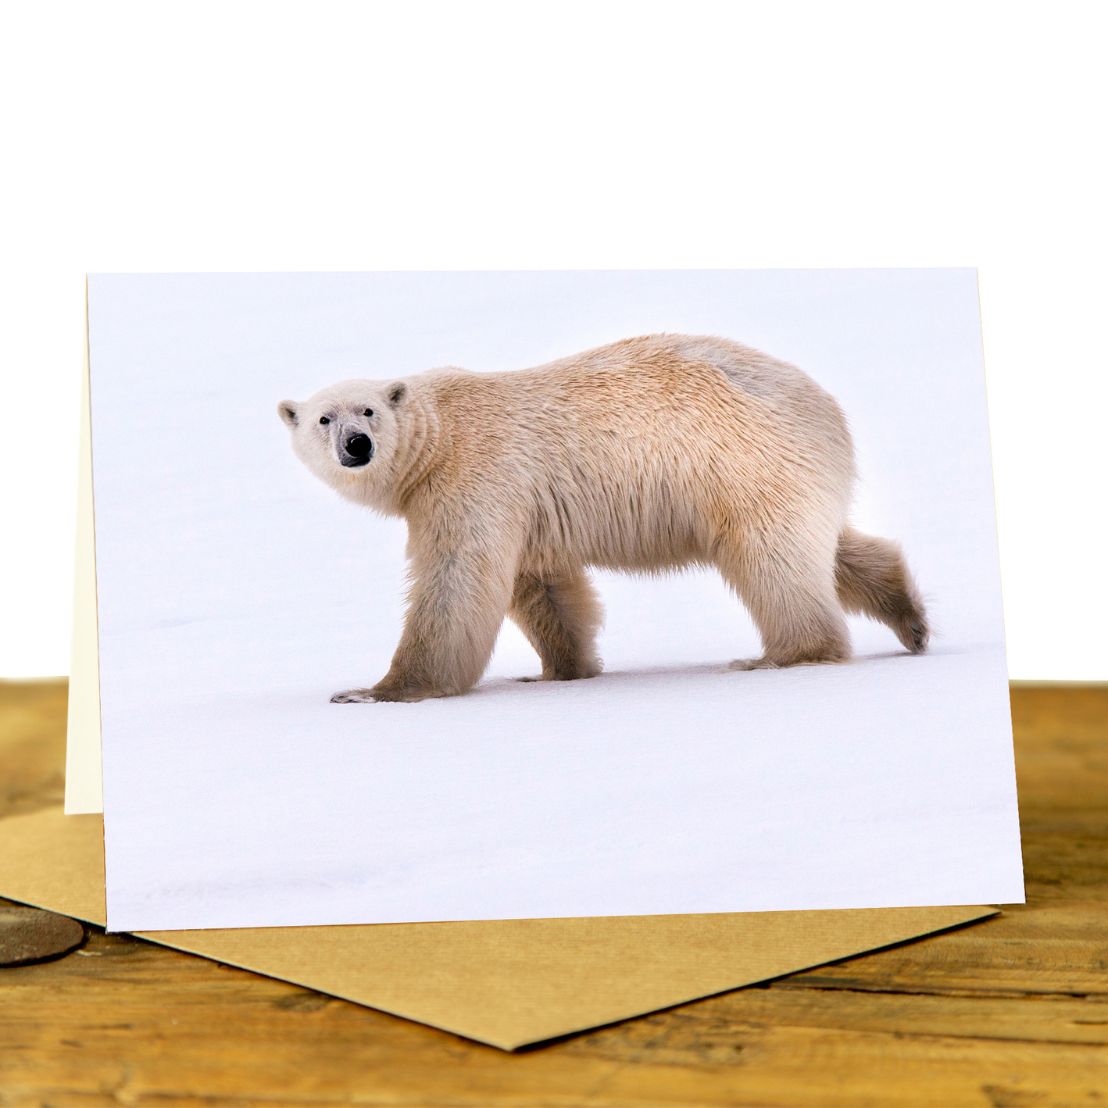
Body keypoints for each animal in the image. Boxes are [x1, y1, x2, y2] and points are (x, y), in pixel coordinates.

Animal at [278, 333, 929, 703]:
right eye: (323, 419)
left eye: (367, 410)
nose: (356, 445)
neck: (439, 435)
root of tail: (825, 409)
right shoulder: (522, 505)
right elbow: (542, 586)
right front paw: (560, 671)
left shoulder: (474, 477)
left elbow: (455, 581)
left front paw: (376, 691)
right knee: (827, 545)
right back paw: (909, 617)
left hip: (739, 459)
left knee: (771, 558)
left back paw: (781, 655)